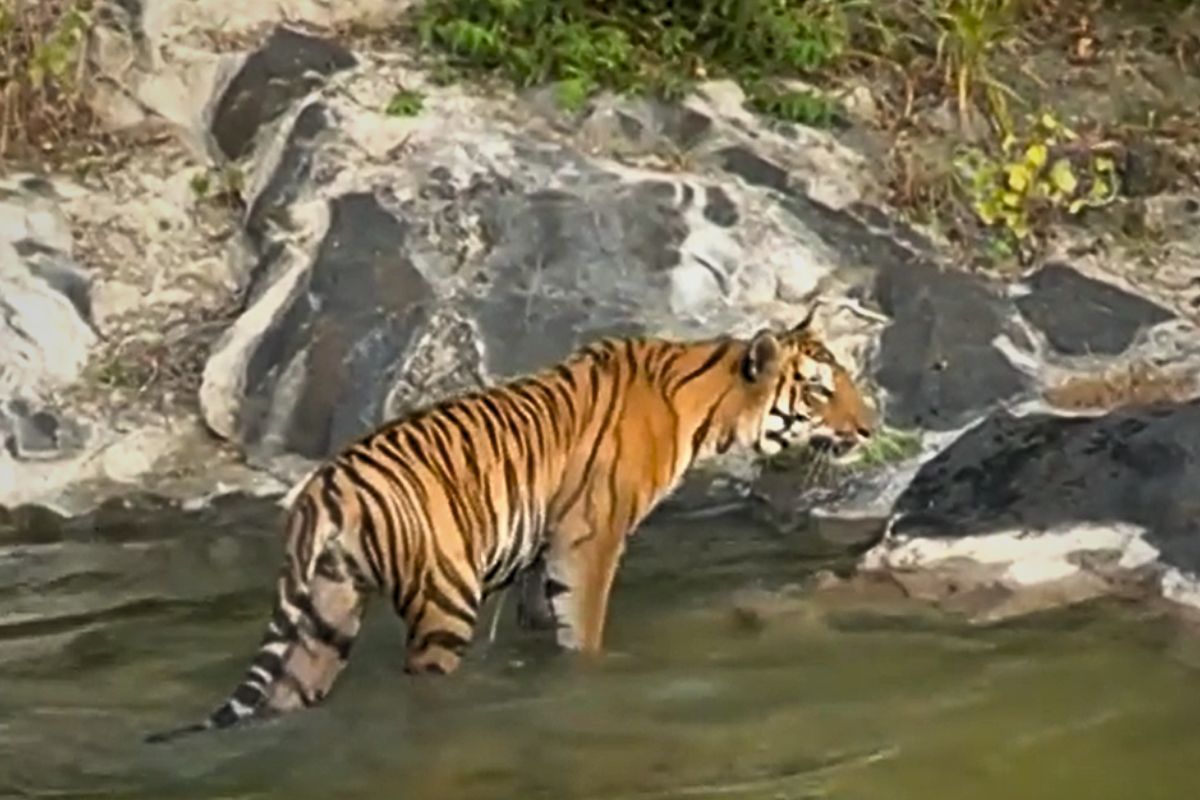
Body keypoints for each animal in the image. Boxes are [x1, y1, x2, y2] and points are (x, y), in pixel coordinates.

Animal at [146, 311, 874, 743]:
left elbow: (541, 624)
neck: (705, 404)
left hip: (326, 616)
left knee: (288, 694)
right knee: (425, 679)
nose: (870, 428)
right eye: (818, 391)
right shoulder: (589, 540)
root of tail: (325, 487)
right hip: (443, 597)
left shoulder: (538, 550)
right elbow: (585, 630)